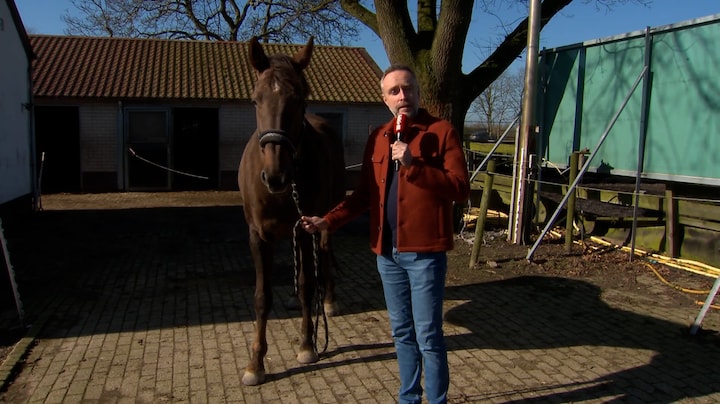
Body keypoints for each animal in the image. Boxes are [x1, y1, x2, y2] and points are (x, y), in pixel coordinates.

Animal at [237, 36, 346, 386]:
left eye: (299, 99)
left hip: (322, 222)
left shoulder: (306, 227)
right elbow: (262, 298)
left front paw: (307, 344)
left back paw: (329, 301)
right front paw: (255, 363)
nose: (276, 176)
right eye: (255, 100)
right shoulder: (258, 236)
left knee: (322, 256)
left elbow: (306, 285)